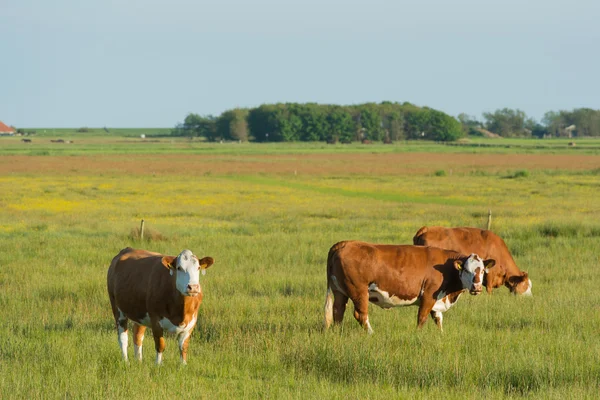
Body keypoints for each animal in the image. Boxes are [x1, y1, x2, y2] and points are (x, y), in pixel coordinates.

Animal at [324, 241, 496, 334]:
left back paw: (337, 332)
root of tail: (345, 243)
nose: (476, 287)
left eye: (482, 270)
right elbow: (422, 318)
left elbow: (438, 319)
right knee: (360, 314)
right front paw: (418, 335)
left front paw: (441, 335)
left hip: (339, 290)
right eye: (466, 270)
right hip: (359, 291)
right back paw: (372, 333)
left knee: (338, 311)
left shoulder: (438, 300)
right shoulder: (429, 295)